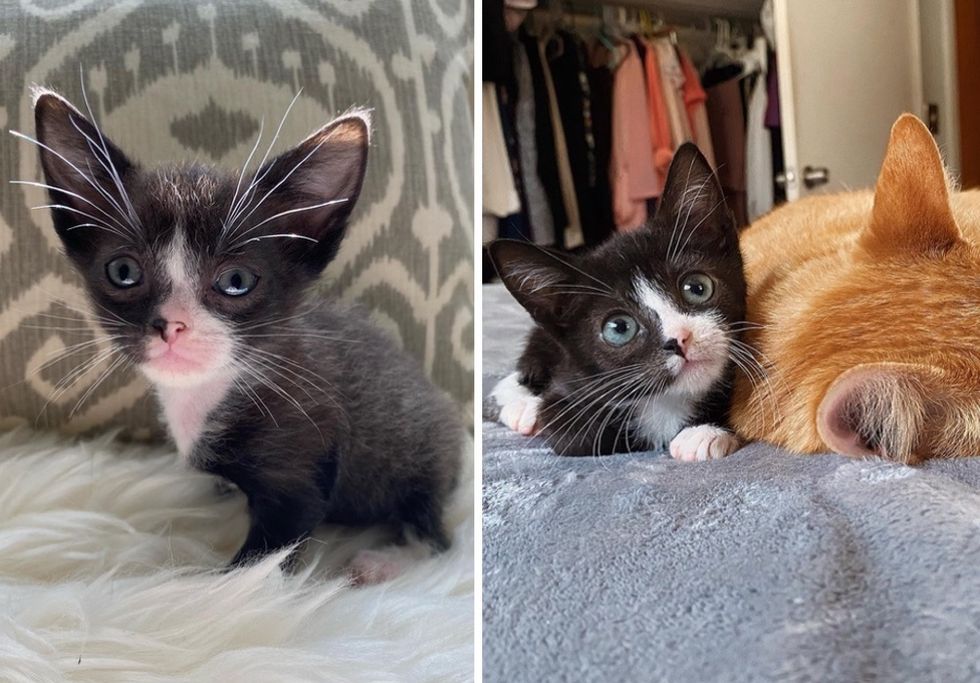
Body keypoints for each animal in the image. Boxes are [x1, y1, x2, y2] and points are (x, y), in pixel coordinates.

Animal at [23, 88, 464, 584]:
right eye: (123, 271)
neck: (208, 391)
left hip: (421, 456)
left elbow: (264, 555)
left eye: (236, 281)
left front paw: (219, 586)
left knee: (435, 533)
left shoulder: (301, 454)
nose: (171, 325)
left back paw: (386, 561)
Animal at [490, 146, 752, 464]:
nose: (679, 340)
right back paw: (523, 408)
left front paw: (702, 432)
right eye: (619, 328)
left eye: (697, 288)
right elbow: (572, 434)